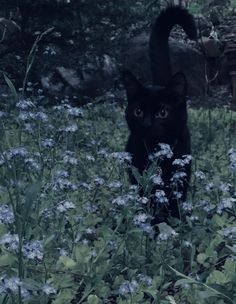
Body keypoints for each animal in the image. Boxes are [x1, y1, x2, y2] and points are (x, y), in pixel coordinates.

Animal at [122, 5, 196, 223]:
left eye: (163, 112)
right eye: (138, 111)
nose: (147, 124)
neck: (158, 156)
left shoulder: (180, 176)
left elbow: (174, 203)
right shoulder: (138, 173)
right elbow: (145, 199)